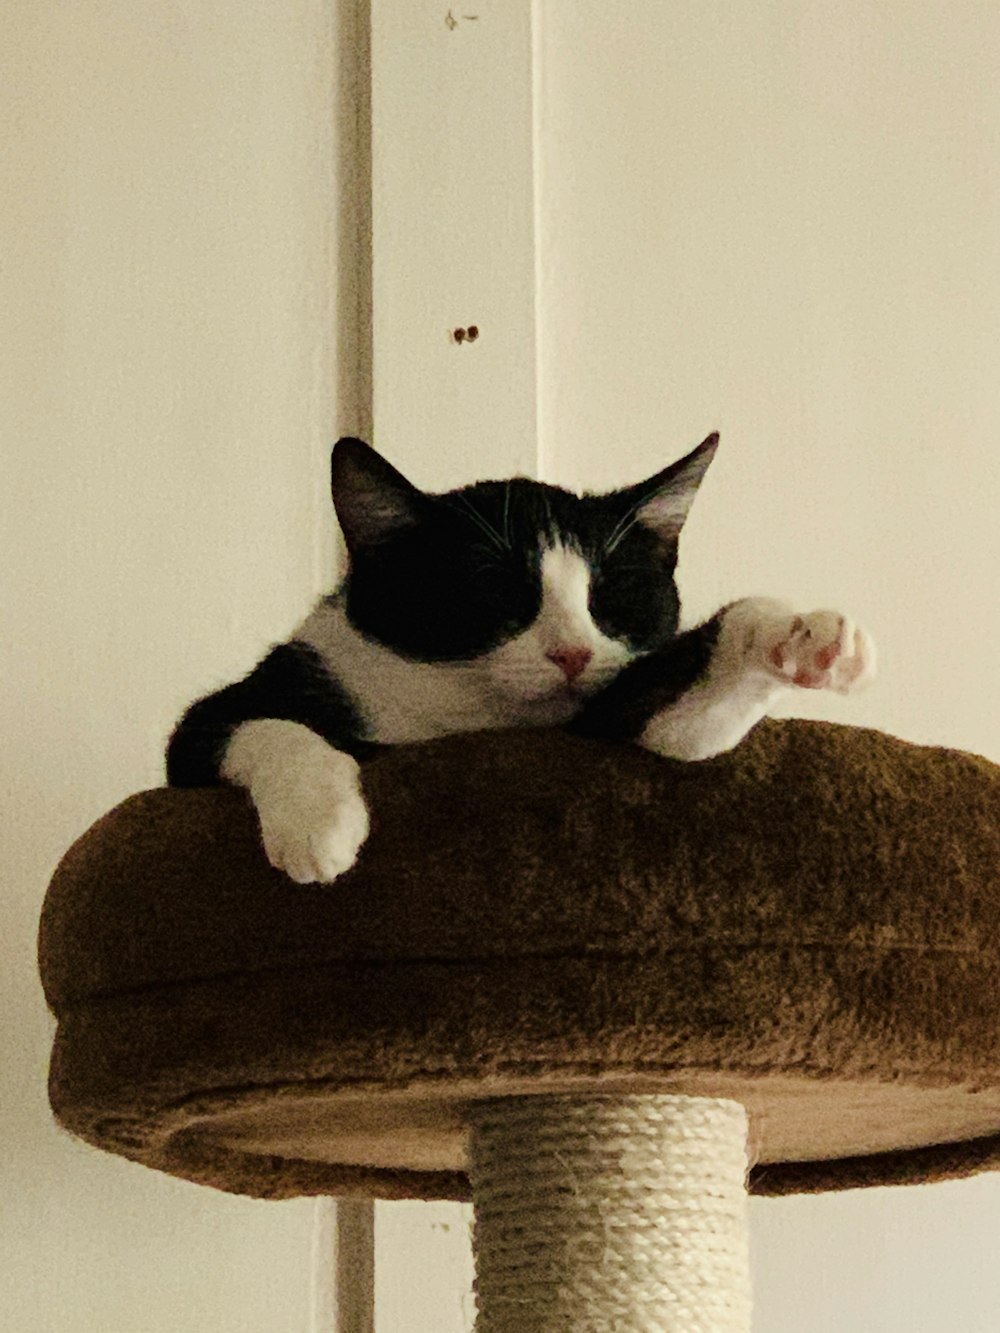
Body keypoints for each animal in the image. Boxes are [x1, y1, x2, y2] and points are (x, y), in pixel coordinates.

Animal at [170, 437, 874, 885]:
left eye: (611, 596)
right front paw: (318, 823)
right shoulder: (233, 710)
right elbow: (256, 724)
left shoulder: (595, 716)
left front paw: (796, 638)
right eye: (497, 593)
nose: (573, 653)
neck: (462, 717)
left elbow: (679, 725)